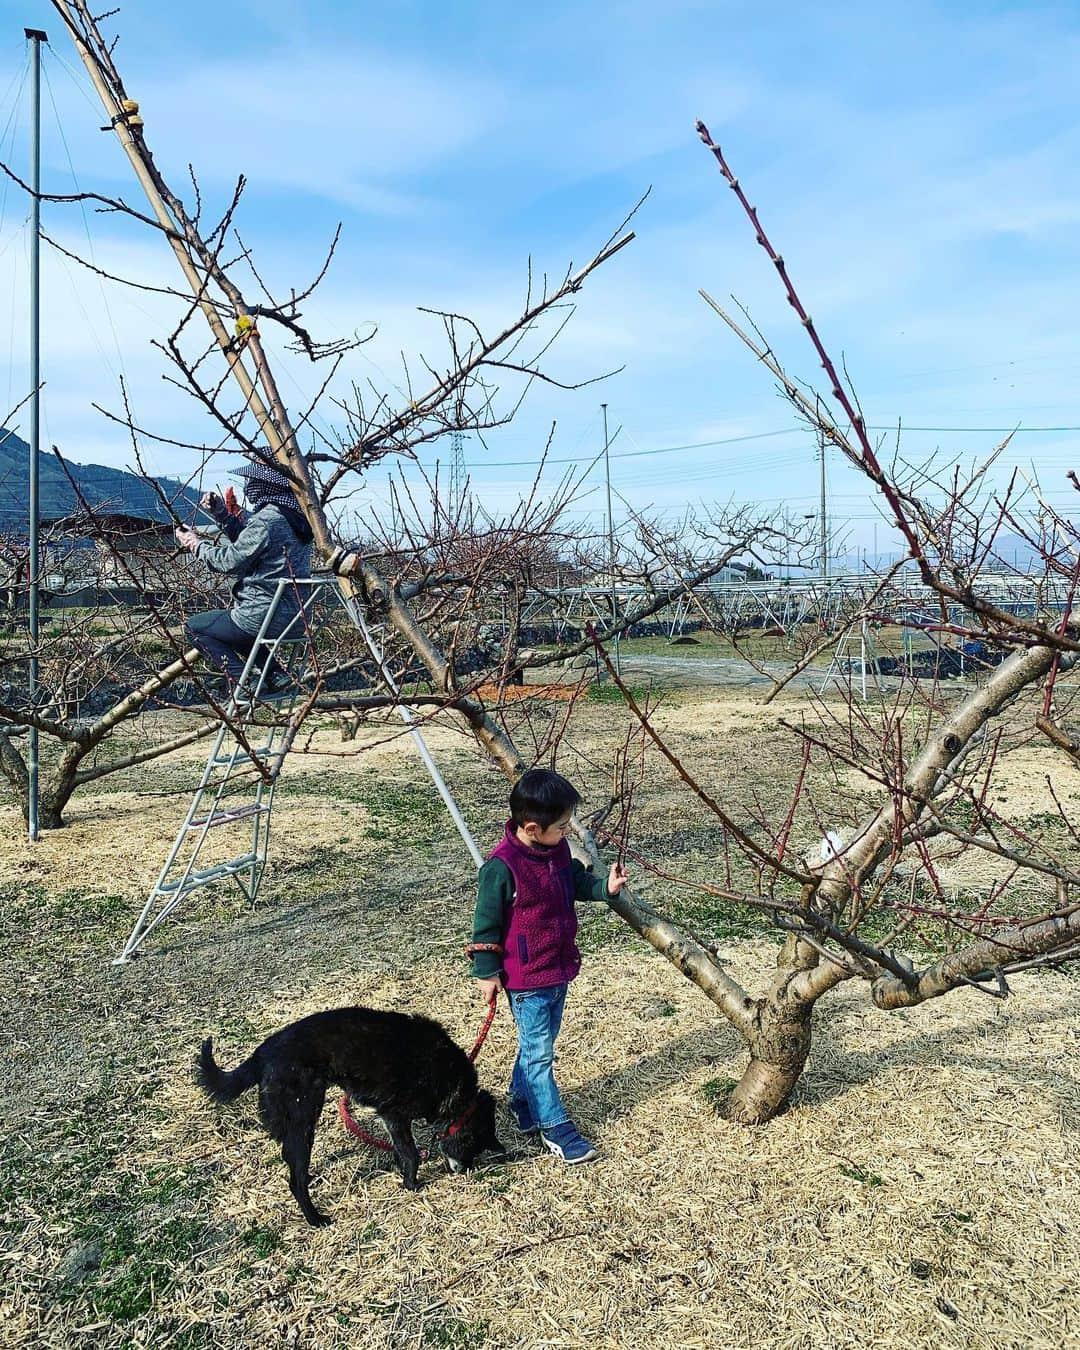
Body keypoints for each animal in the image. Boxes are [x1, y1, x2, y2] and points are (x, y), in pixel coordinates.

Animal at [195, 1009, 507, 1231]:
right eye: (472, 1147)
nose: (464, 1171)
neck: (454, 1087)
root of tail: (262, 1053)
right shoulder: (395, 1115)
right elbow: (410, 1153)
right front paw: (412, 1184)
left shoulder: (390, 1119)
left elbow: (400, 1150)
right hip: (304, 1117)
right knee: (295, 1178)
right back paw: (315, 1219)